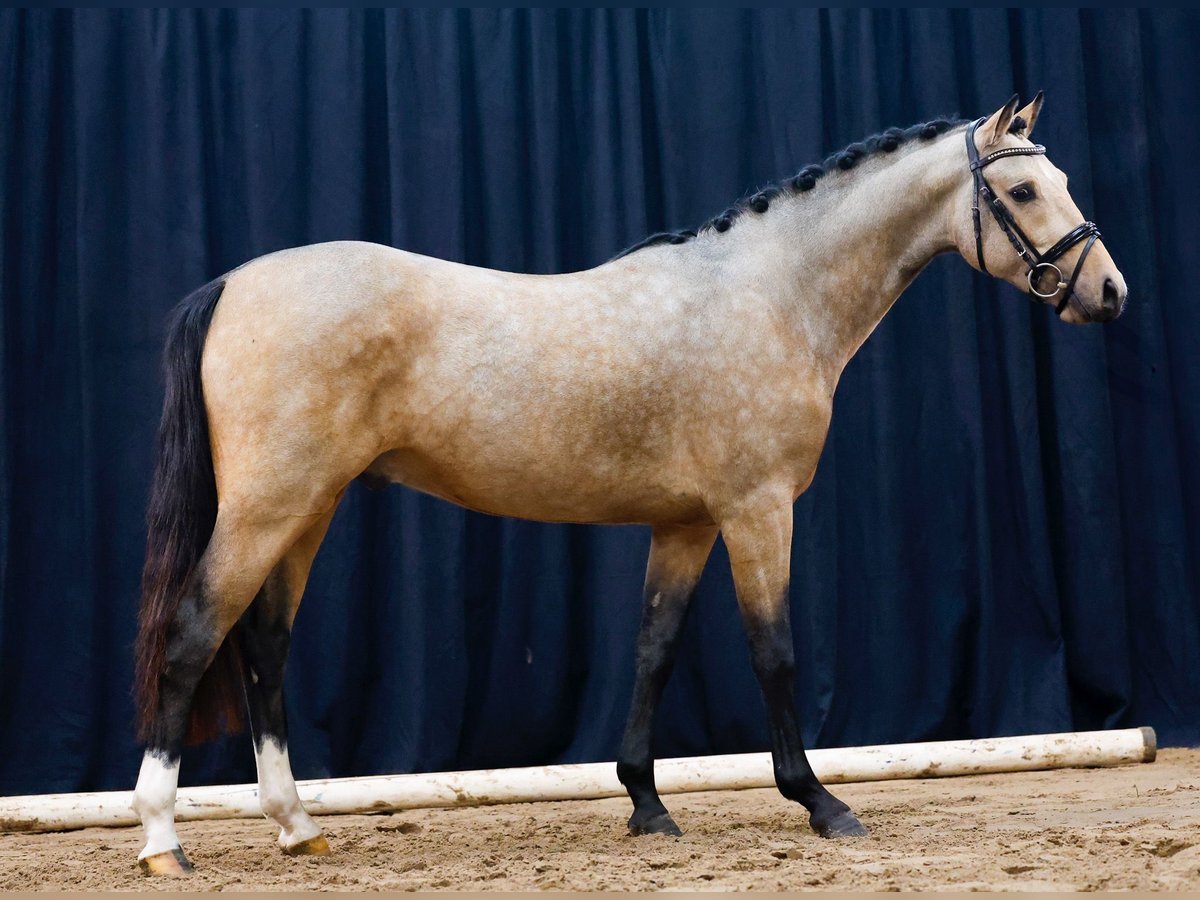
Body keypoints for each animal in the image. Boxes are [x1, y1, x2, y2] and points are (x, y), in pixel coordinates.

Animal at [129, 95, 1123, 878]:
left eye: (1062, 179)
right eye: (1024, 191)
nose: (1108, 293)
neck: (769, 293)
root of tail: (231, 285)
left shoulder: (685, 524)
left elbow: (653, 651)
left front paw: (648, 806)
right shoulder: (758, 511)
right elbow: (774, 651)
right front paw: (821, 802)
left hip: (308, 509)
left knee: (264, 646)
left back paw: (298, 827)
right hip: (268, 508)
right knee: (193, 635)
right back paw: (161, 840)